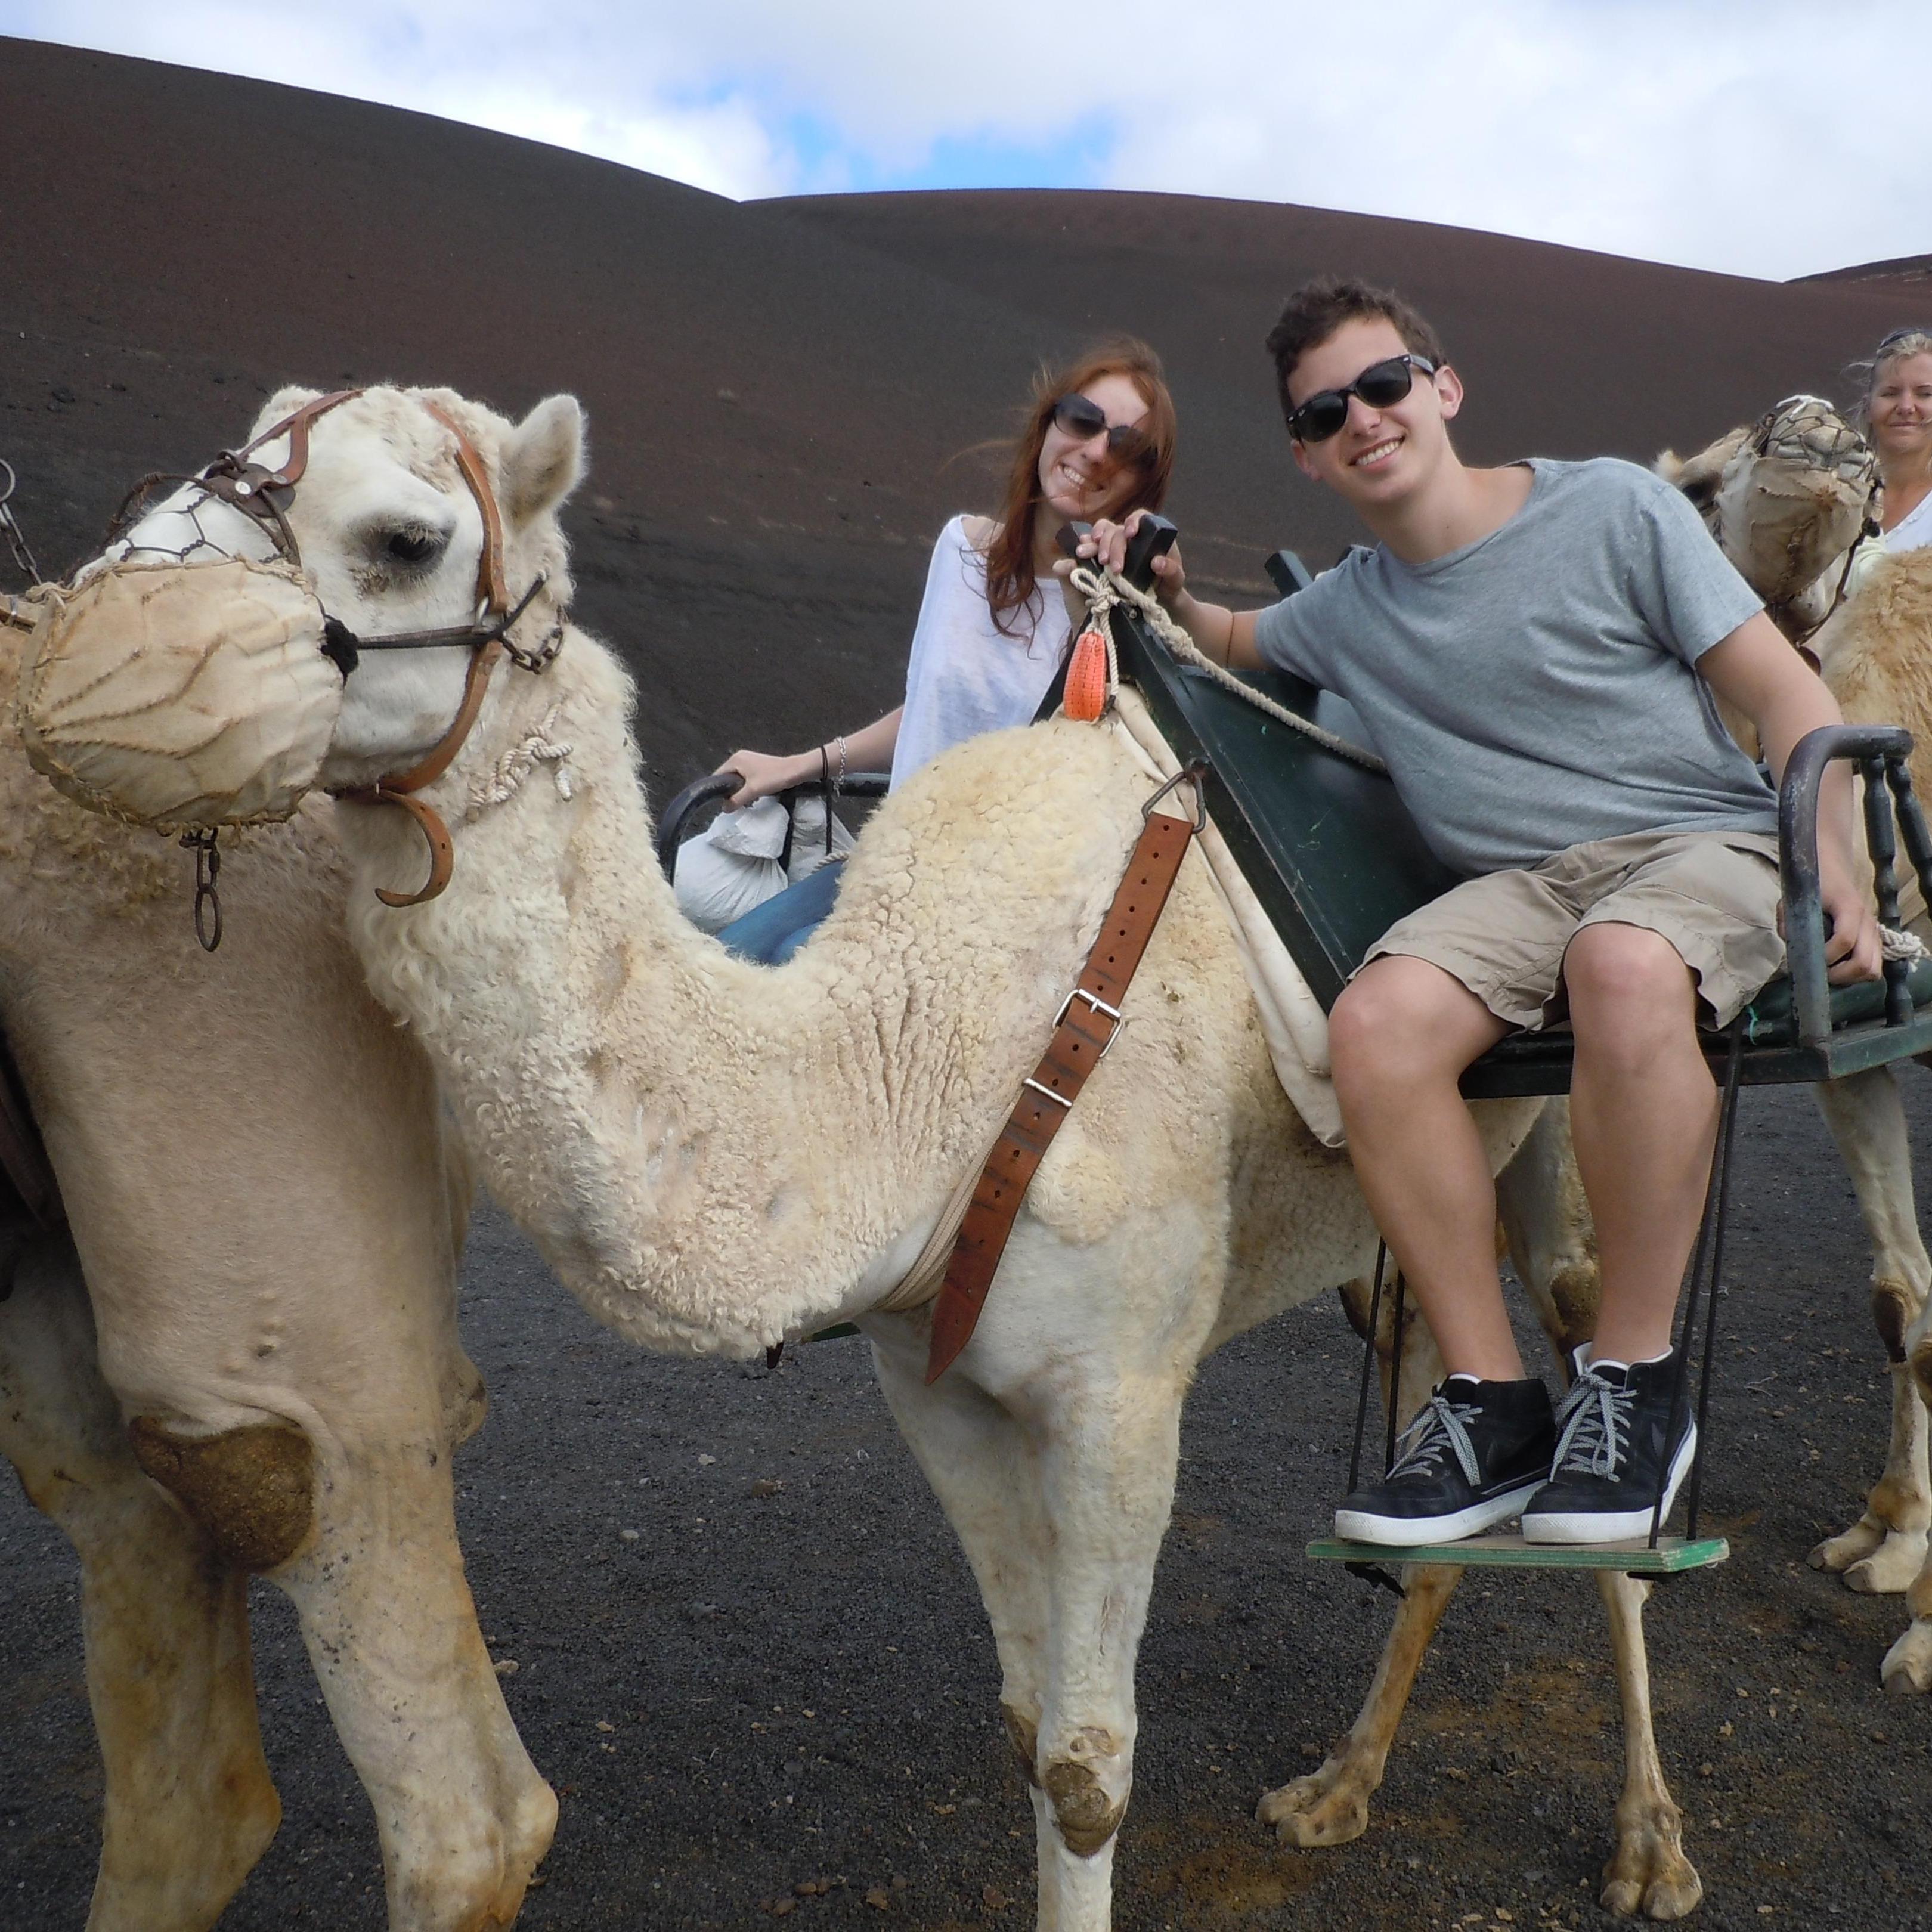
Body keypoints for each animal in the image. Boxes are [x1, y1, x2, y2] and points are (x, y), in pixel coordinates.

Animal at [60, 384, 1731, 1924]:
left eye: (405, 540)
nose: (96, 652)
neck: (921, 1066)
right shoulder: (936, 1382)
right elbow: (1025, 1731)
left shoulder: (1121, 1394)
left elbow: (1089, 1765)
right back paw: (1338, 1783)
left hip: (1589, 1075)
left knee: (1592, 1374)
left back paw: (1651, 1843)